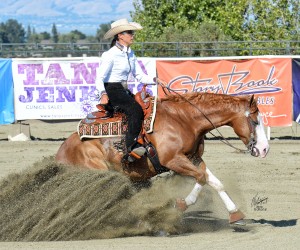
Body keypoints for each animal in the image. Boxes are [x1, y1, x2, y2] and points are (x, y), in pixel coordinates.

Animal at [56, 92, 270, 225]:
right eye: (254, 120)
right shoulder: (174, 161)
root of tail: (60, 154)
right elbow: (201, 178)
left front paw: (235, 213)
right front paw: (182, 204)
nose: (264, 149)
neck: (184, 119)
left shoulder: (193, 158)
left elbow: (214, 181)